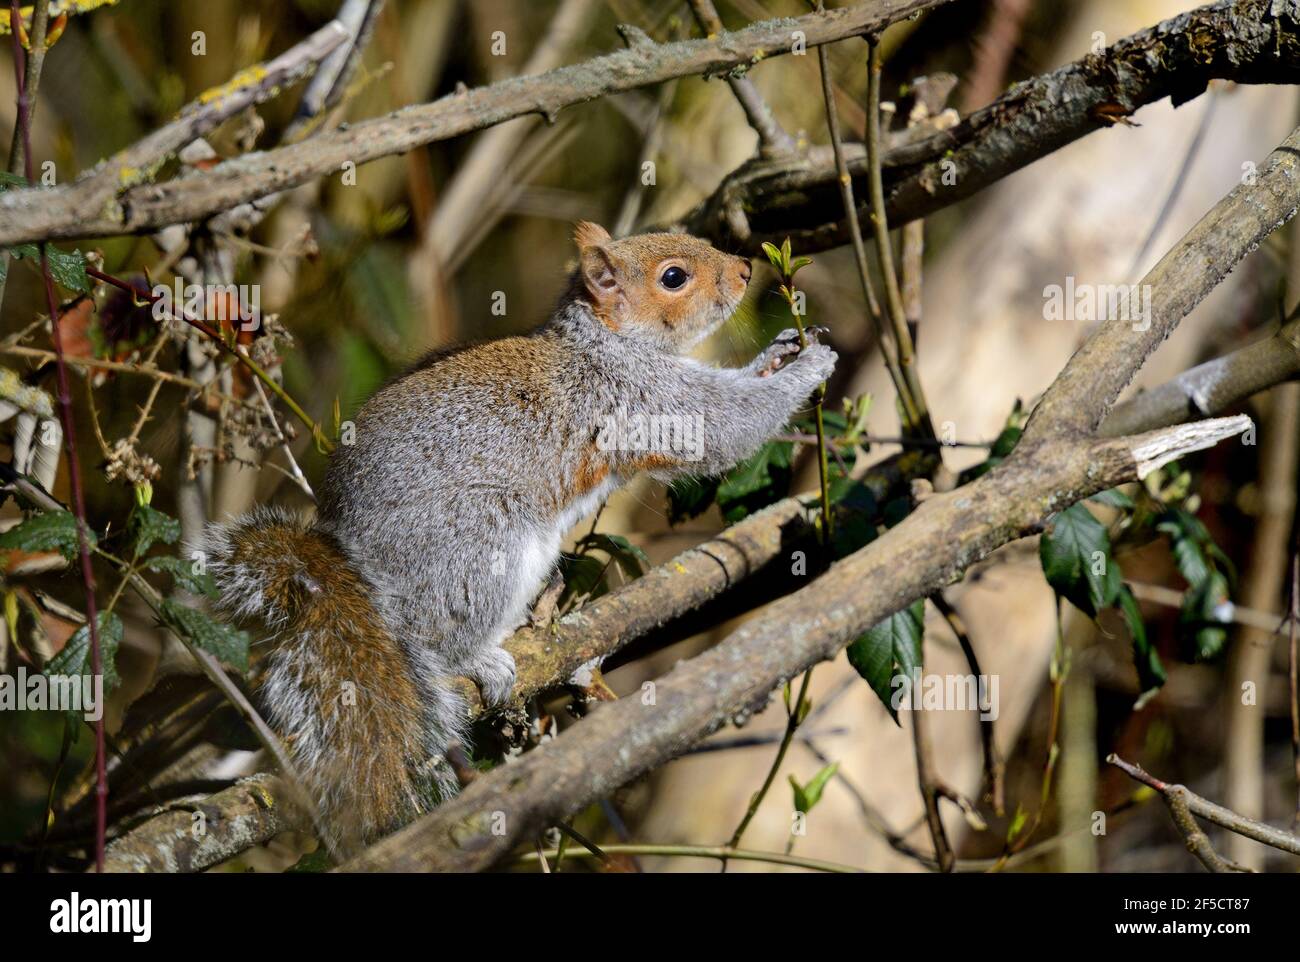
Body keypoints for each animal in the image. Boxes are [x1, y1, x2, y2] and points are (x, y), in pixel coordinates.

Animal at [199, 222, 837, 850]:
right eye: (673, 278)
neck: (606, 343)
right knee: (434, 635)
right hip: (480, 542)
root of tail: (361, 572)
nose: (746, 270)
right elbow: (725, 423)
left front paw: (782, 351)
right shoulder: (639, 398)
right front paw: (808, 369)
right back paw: (478, 658)